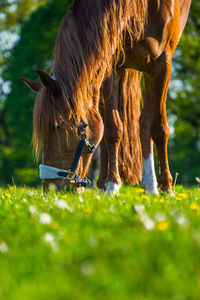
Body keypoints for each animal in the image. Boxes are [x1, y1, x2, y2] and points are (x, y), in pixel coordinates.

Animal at [97, 0, 191, 195]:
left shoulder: (162, 63)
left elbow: (159, 128)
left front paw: (166, 186)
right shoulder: (109, 60)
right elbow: (111, 127)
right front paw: (111, 184)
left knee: (147, 121)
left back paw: (152, 184)